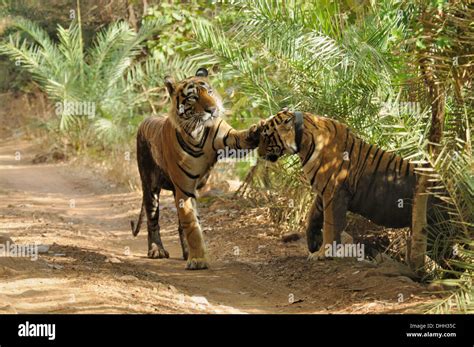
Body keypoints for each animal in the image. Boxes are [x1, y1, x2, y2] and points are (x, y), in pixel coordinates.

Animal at [131, 66, 262, 270]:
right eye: (193, 97)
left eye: (210, 92)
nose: (213, 110)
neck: (198, 132)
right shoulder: (184, 188)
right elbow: (192, 227)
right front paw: (198, 260)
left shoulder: (227, 138)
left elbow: (240, 138)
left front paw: (259, 129)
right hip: (150, 186)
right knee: (153, 220)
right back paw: (157, 250)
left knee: (179, 223)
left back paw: (185, 253)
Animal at [260, 109, 448, 266]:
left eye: (267, 136)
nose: (259, 154)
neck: (303, 143)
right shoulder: (323, 192)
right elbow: (312, 216)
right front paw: (313, 244)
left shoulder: (333, 192)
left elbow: (330, 225)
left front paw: (323, 253)